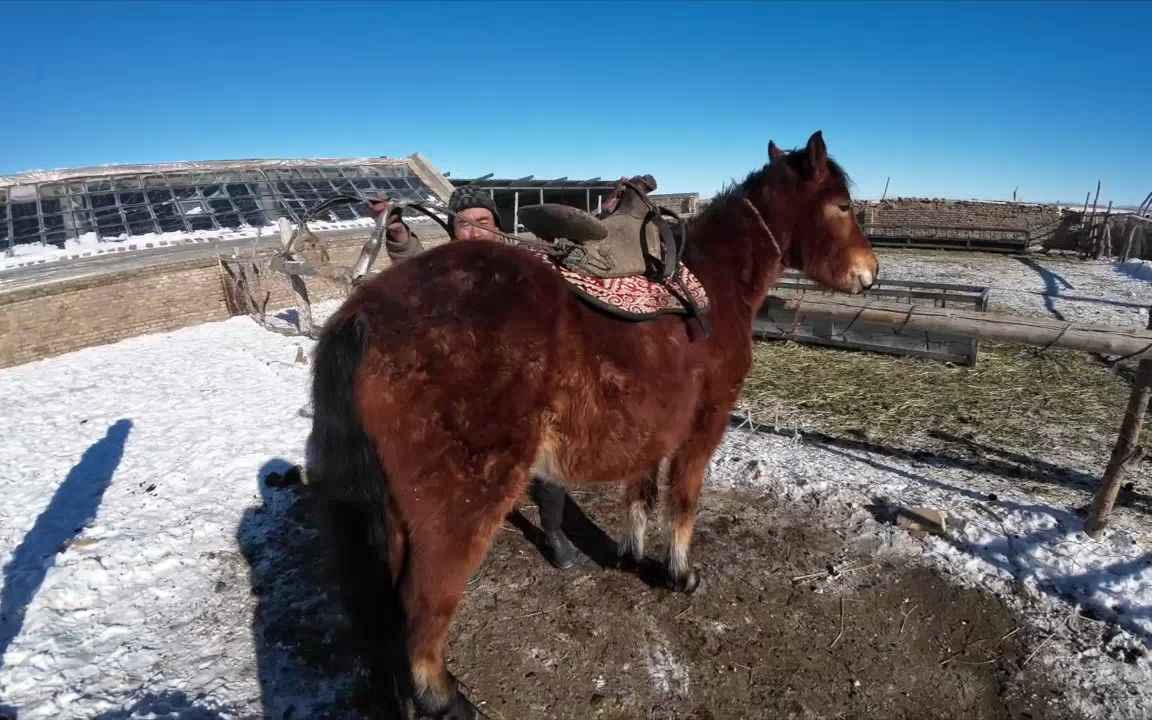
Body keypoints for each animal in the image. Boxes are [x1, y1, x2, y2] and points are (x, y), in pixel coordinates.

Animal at [308, 131, 878, 719]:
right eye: (842, 206)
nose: (870, 272)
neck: (715, 283)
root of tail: (363, 314)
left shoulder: (652, 427)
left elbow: (640, 494)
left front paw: (630, 556)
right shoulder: (705, 424)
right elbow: (684, 500)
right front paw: (681, 575)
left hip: (395, 513)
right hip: (458, 509)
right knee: (422, 611)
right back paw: (448, 700)